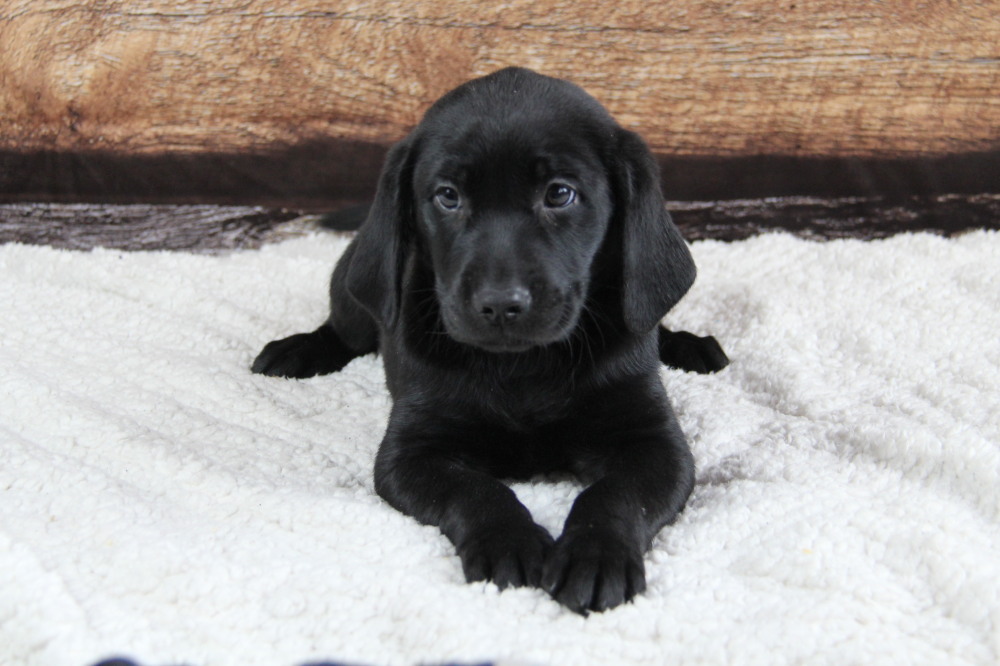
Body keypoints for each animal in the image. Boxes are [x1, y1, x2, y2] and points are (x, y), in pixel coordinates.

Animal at [254, 68, 732, 612]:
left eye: (559, 194)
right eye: (448, 195)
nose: (500, 304)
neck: (524, 366)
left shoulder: (653, 441)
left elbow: (614, 495)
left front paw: (596, 555)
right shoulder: (413, 450)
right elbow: (475, 490)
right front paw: (511, 543)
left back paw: (688, 345)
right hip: (353, 292)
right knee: (342, 328)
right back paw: (297, 350)